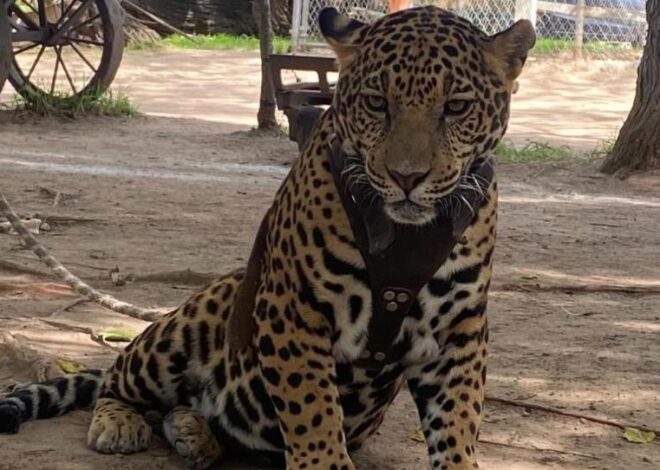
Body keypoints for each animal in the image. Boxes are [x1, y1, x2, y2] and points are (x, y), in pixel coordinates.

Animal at [0, 7, 535, 470]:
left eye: (456, 108)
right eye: (377, 104)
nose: (407, 177)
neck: (404, 237)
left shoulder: (461, 325)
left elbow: (459, 418)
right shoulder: (293, 308)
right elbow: (313, 412)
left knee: (186, 414)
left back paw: (192, 431)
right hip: (194, 319)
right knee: (116, 376)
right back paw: (120, 424)